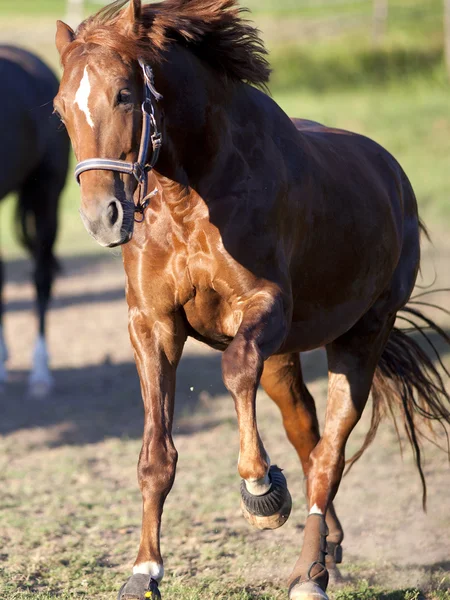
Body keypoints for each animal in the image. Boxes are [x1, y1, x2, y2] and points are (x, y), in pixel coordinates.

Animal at [53, 2, 450, 596]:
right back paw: (328, 549)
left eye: (125, 94)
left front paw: (262, 490)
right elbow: (156, 456)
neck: (191, 195)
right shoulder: (152, 324)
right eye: (60, 109)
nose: (103, 217)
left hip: (362, 335)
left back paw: (309, 572)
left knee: (329, 452)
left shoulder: (264, 307)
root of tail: (394, 178)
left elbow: (236, 371)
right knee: (306, 434)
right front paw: (144, 571)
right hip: (284, 357)